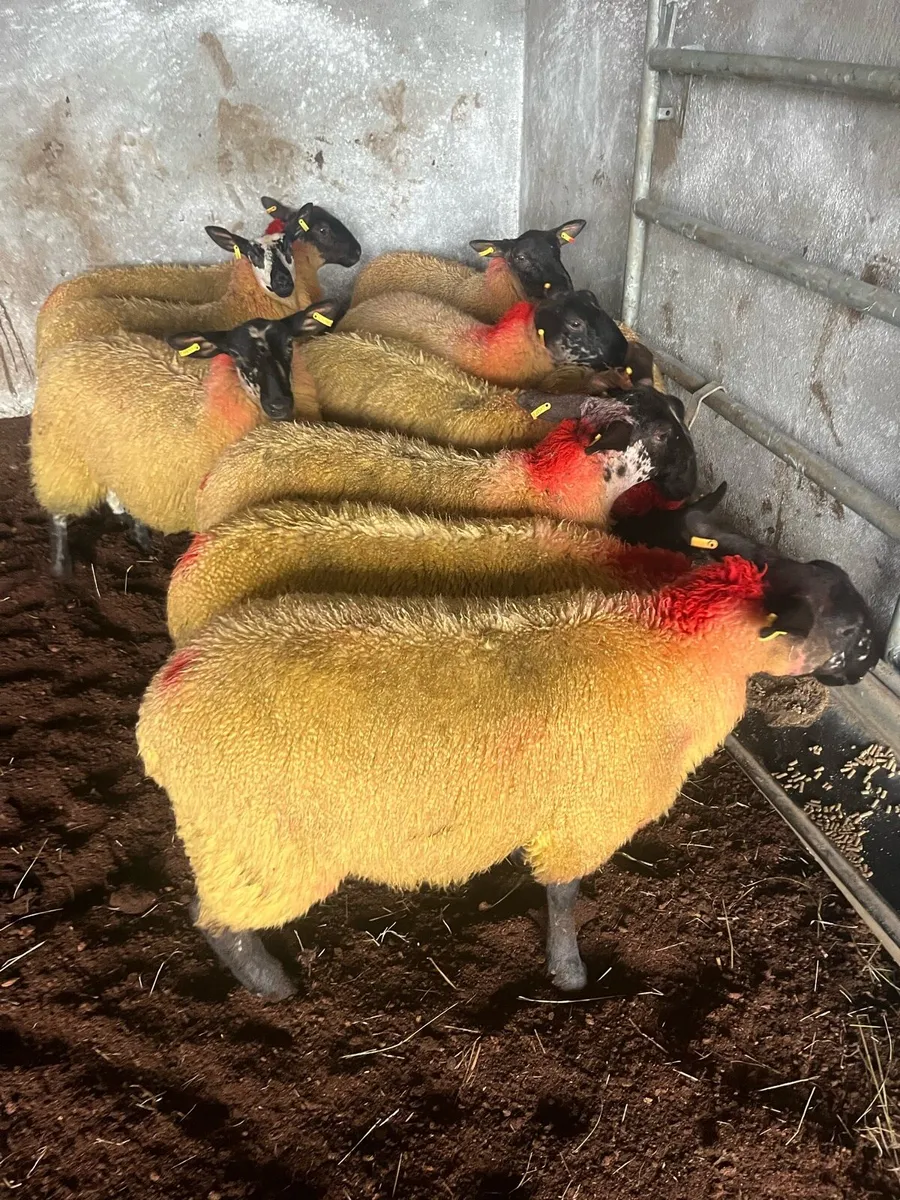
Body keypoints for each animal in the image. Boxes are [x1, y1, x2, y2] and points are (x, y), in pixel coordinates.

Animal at [31, 302, 338, 576]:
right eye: (235, 354)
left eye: (289, 345)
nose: (279, 404)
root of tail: (72, 347)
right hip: (61, 452)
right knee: (58, 512)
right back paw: (61, 568)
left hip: (114, 457)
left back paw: (141, 539)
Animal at [136, 539, 877, 999]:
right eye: (847, 631)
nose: (868, 665)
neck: (676, 648)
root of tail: (162, 705)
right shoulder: (585, 814)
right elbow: (564, 896)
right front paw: (570, 975)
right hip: (260, 842)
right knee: (216, 920)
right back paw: (275, 987)